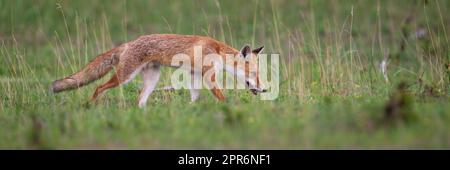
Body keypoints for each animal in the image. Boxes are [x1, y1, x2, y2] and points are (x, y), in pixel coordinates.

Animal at [51, 33, 266, 107]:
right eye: (254, 74)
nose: (264, 89)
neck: (217, 51)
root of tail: (130, 42)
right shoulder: (207, 75)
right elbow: (222, 97)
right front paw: (228, 107)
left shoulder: (194, 75)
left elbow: (194, 97)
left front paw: (191, 109)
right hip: (124, 76)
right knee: (98, 88)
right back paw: (91, 106)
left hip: (152, 79)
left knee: (140, 100)